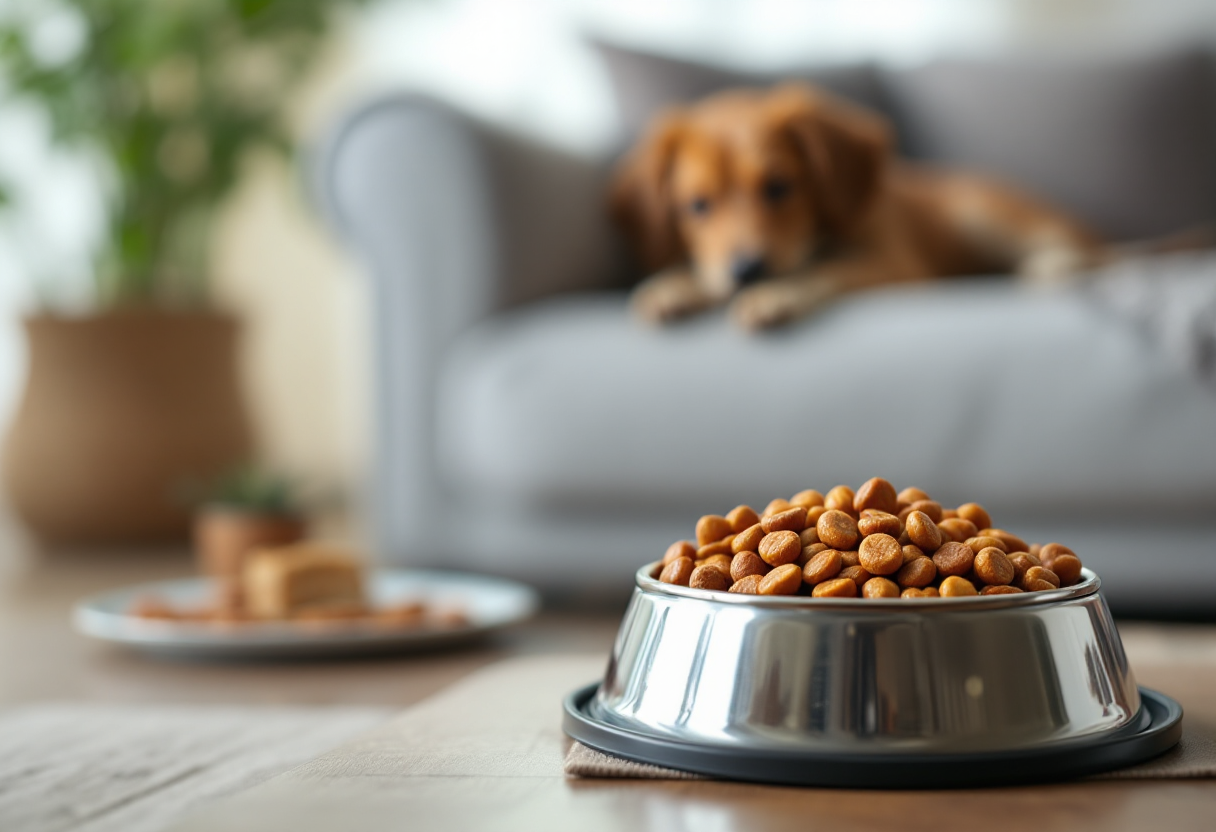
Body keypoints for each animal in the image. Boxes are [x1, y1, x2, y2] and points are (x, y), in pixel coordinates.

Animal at [612, 82, 1099, 330]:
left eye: (778, 187)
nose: (748, 271)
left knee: (1093, 252)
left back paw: (1058, 263)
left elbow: (823, 271)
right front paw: (675, 285)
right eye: (697, 206)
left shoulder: (893, 263)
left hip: (983, 215)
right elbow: (701, 272)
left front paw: (777, 293)